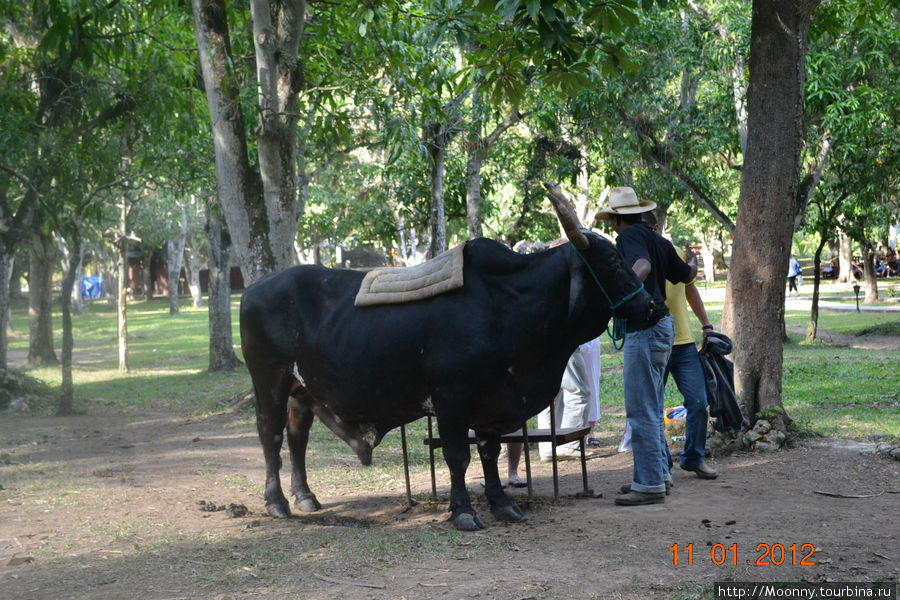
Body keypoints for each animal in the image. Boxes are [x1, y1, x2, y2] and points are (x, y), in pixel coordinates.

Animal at [236, 192, 652, 528]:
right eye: (613, 263)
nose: (651, 306)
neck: (505, 303)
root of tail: (255, 288)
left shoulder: (493, 402)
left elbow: (489, 453)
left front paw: (502, 504)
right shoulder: (452, 397)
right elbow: (458, 456)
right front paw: (463, 511)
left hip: (301, 390)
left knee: (297, 437)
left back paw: (305, 496)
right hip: (269, 381)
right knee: (271, 435)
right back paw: (277, 502)